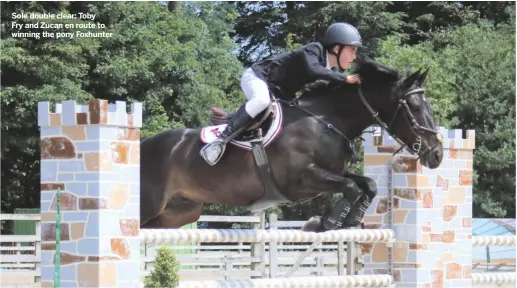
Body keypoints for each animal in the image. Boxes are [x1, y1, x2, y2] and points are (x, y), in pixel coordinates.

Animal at [140, 55, 444, 232]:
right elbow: (350, 187)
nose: (438, 155)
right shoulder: (300, 180)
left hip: (178, 213)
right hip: (150, 206)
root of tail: (143, 144)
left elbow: (365, 185)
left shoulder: (333, 171)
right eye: (415, 107)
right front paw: (327, 222)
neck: (325, 119)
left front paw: (347, 220)